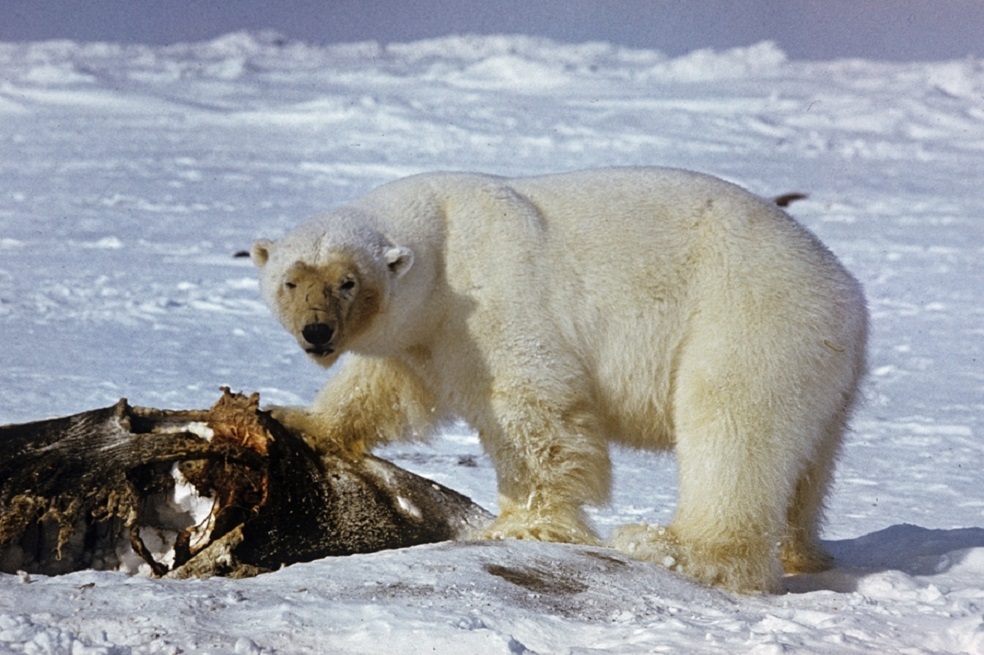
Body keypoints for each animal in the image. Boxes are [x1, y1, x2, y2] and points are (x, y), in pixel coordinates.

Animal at [251, 167, 868, 593]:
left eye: (348, 281)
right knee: (808, 463)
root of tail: (848, 295)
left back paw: (673, 547)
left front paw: (522, 524)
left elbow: (532, 404)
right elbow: (385, 386)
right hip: (823, 370)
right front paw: (294, 416)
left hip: (750, 320)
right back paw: (802, 552)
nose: (317, 331)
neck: (444, 238)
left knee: (732, 431)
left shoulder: (494, 298)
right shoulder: (424, 331)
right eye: (291, 280)